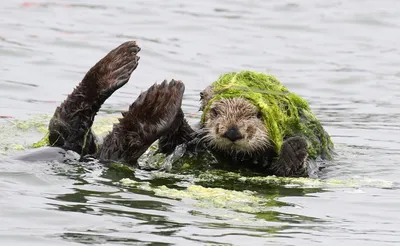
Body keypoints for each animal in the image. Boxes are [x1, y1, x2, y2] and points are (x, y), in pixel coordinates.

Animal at [14, 41, 334, 178]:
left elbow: (290, 171)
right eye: (215, 112)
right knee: (69, 125)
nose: (232, 131)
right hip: (78, 142)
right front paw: (179, 123)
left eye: (258, 114)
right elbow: (177, 141)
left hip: (94, 151)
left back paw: (155, 105)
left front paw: (295, 145)